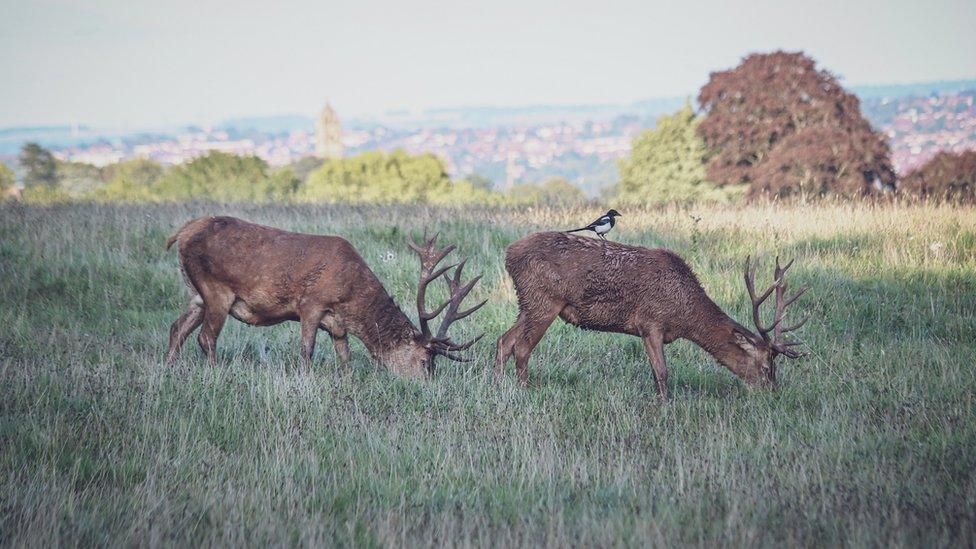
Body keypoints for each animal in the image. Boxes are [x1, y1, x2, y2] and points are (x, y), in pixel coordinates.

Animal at [168, 215, 488, 376]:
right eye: (425, 361)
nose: (426, 385)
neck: (351, 297)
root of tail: (182, 232)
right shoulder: (311, 303)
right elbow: (306, 349)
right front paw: (305, 379)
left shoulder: (338, 326)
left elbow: (346, 358)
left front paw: (348, 382)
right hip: (216, 289)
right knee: (205, 337)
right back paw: (214, 373)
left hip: (196, 293)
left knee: (177, 328)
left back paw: (172, 368)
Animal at [496, 229, 808, 396]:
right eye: (766, 367)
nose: (772, 394)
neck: (684, 315)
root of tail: (509, 254)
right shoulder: (651, 322)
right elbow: (662, 371)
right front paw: (665, 405)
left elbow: (653, 371)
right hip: (544, 300)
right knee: (522, 346)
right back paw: (524, 389)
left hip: (528, 303)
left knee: (504, 340)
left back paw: (497, 383)